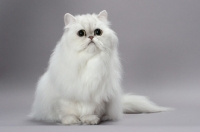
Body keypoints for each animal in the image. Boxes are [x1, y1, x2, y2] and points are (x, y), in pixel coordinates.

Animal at [30, 10, 170, 125]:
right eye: (81, 33)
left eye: (98, 32)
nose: (91, 37)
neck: (89, 62)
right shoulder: (64, 95)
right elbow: (68, 110)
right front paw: (71, 120)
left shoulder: (98, 95)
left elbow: (90, 110)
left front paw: (89, 119)